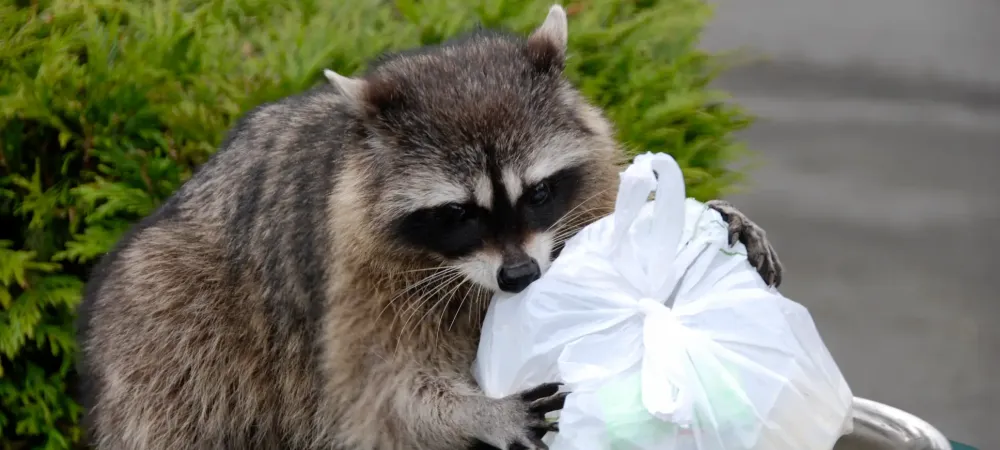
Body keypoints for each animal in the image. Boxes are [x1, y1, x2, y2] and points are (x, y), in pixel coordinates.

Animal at [76, 6, 780, 450]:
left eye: (539, 193)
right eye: (457, 214)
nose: (520, 276)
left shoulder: (586, 189)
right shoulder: (355, 280)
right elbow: (379, 395)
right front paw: (474, 411)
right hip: (168, 336)